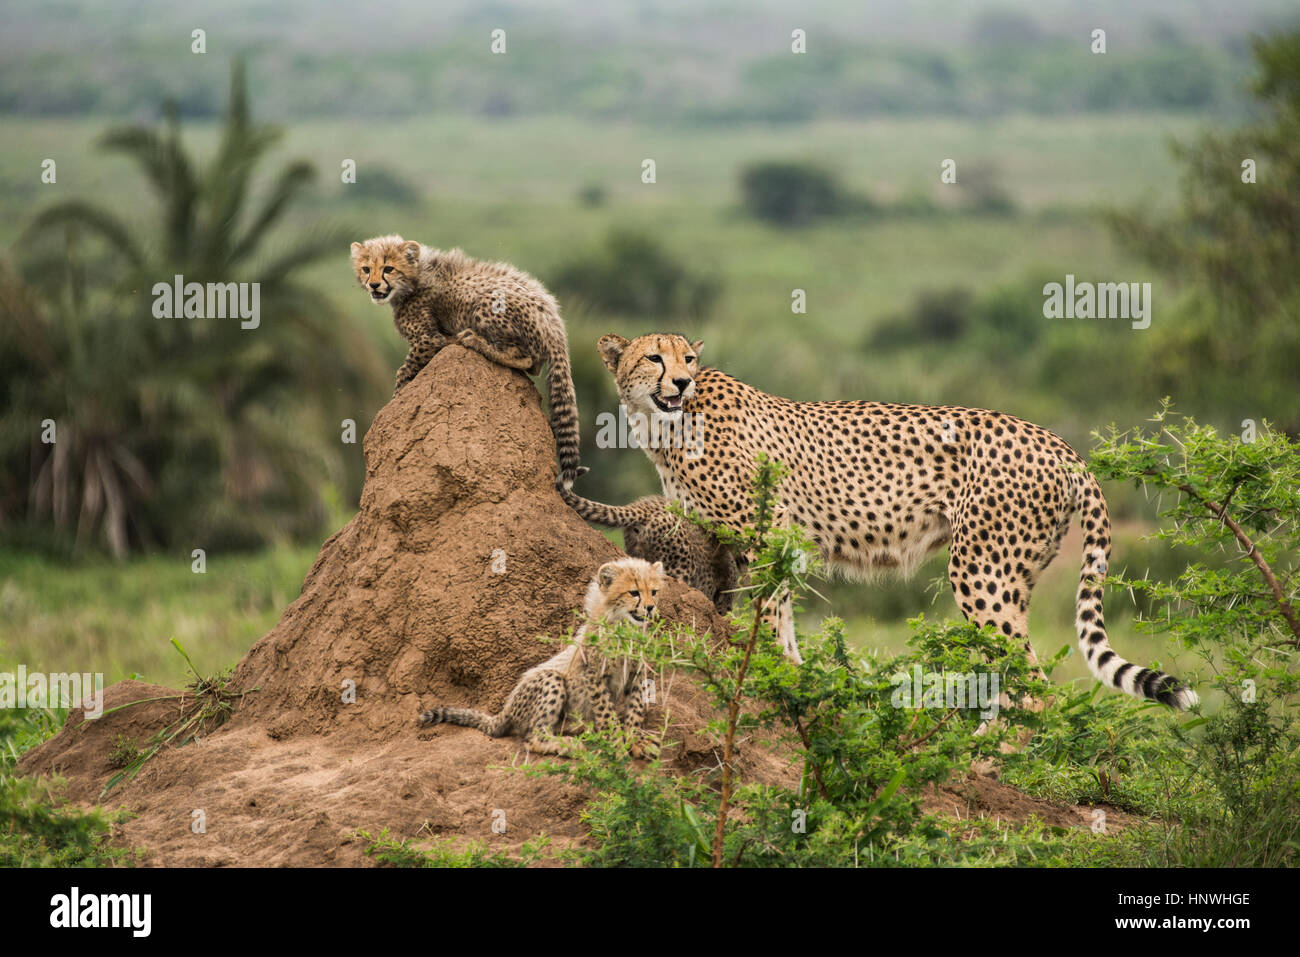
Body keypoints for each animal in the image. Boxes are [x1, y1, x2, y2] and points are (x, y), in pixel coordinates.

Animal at [598, 330, 1196, 712]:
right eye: (653, 359)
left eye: (687, 360)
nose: (680, 383)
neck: (667, 422)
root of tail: (1058, 443)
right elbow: (783, 613)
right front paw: (791, 670)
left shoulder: (761, 530)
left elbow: (768, 612)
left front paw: (767, 668)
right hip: (1016, 574)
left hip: (981, 569)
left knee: (1031, 679)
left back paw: (991, 762)